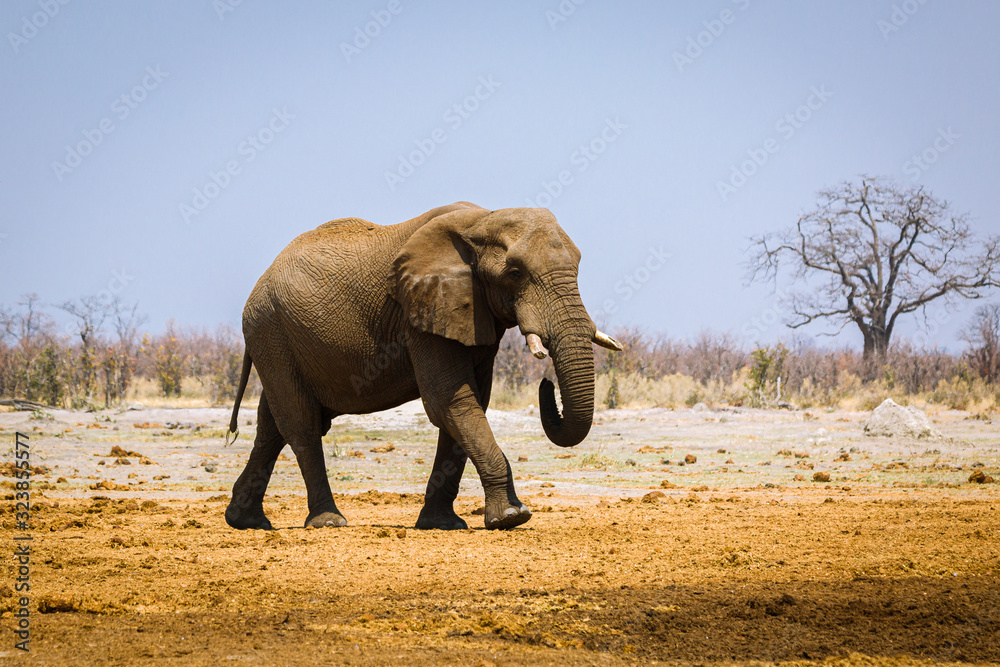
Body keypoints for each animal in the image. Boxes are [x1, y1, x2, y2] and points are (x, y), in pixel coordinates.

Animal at [224, 202, 622, 531]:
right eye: (515, 273)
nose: (546, 383)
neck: (481, 220)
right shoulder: (419, 312)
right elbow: (449, 399)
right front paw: (512, 517)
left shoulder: (470, 312)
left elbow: (468, 402)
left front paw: (444, 524)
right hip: (270, 331)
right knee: (301, 424)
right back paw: (328, 522)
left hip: (279, 338)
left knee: (272, 426)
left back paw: (246, 522)